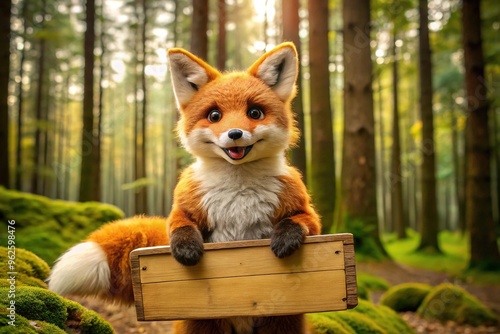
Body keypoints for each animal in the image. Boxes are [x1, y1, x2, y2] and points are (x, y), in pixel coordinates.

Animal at [47, 42, 320, 334]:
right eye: (214, 115)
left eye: (254, 113)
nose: (235, 134)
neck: (239, 191)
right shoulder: (186, 204)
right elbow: (179, 225)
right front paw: (186, 249)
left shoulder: (302, 207)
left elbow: (300, 222)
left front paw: (284, 239)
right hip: (203, 325)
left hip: (281, 323)